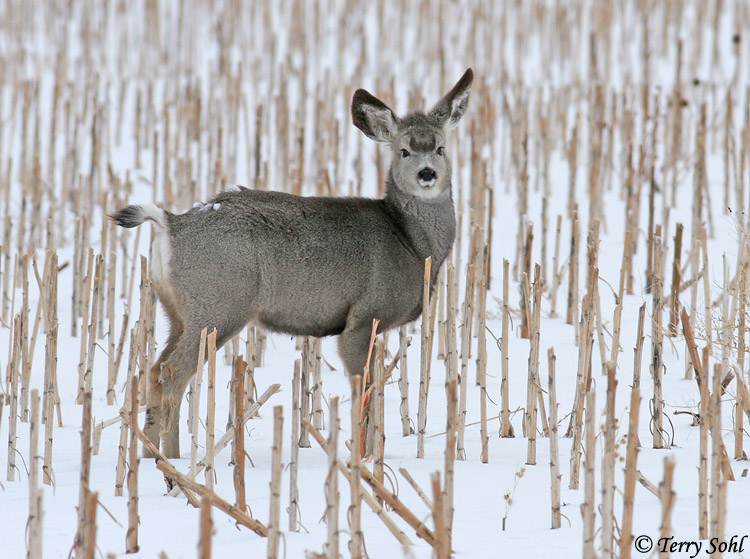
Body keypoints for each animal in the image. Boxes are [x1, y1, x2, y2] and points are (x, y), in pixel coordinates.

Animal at [110, 68, 473, 458]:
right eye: (403, 150)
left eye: (440, 147)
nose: (427, 173)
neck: (410, 242)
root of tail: (171, 224)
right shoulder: (363, 317)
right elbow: (363, 392)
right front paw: (360, 457)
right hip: (218, 305)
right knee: (175, 372)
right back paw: (174, 458)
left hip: (176, 311)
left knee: (154, 370)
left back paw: (153, 455)